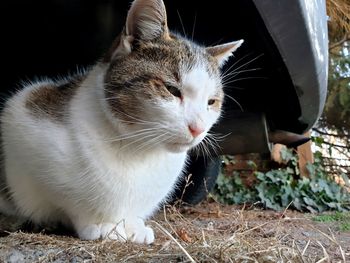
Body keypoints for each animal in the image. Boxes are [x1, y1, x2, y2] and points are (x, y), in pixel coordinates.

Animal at [0, 0, 243, 244]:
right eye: (172, 90)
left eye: (211, 102)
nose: (198, 128)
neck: (137, 149)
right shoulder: (20, 113)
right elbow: (72, 202)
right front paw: (101, 225)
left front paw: (133, 225)